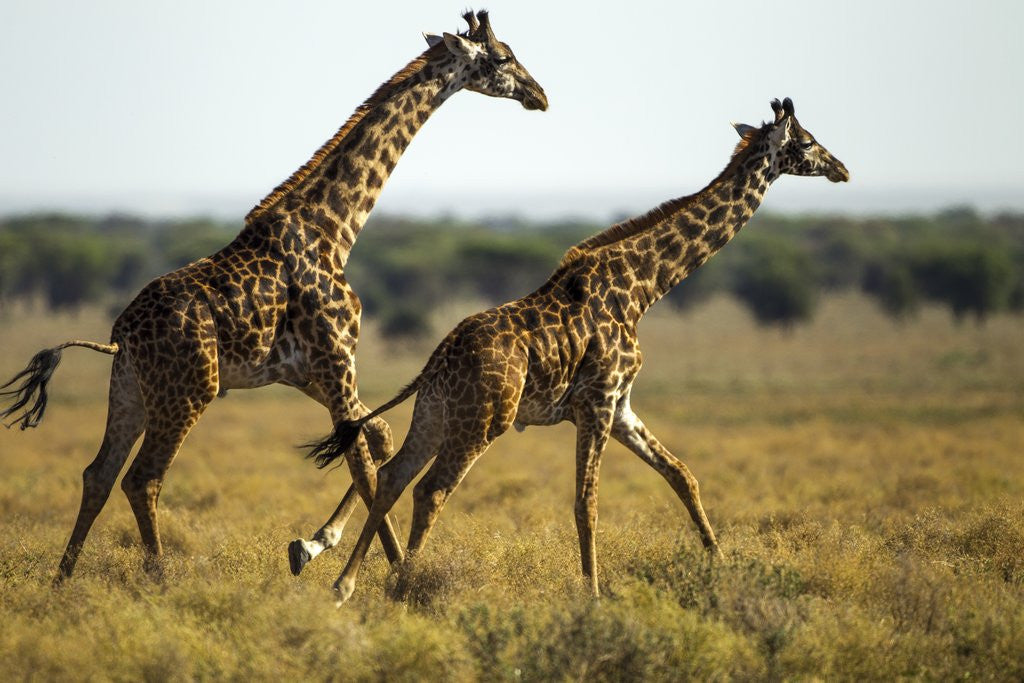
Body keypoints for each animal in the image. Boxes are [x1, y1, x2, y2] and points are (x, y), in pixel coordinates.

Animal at [0, 10, 548, 583]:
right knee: (142, 478)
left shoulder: (305, 374)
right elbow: (366, 462)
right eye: (503, 57)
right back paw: (160, 580)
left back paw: (62, 581)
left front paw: (315, 546)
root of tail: (119, 335)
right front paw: (376, 567)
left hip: (128, 389)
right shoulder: (336, 360)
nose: (540, 95)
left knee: (98, 473)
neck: (334, 229)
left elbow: (377, 438)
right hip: (189, 390)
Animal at [303, 97, 849, 603]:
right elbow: (587, 503)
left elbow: (683, 475)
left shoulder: (621, 406)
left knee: (394, 476)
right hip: (483, 421)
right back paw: (403, 586)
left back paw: (344, 584)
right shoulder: (597, 403)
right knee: (431, 489)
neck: (645, 288)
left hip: (437, 413)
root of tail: (437, 359)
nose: (841, 169)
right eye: (805, 143)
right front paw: (593, 594)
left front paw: (720, 563)